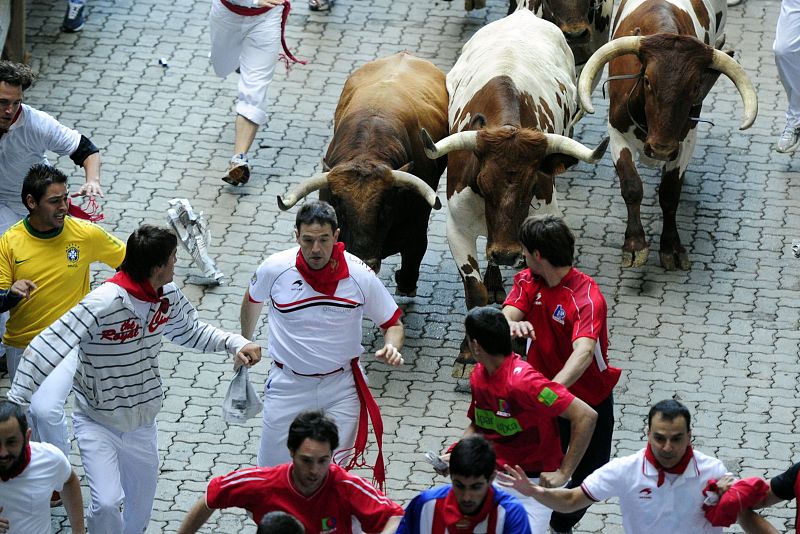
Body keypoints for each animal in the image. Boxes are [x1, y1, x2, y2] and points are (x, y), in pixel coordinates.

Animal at [278, 51, 446, 298]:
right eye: (341, 208)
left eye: (385, 208)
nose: (365, 260)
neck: (367, 152)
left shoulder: (417, 222)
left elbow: (415, 249)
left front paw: (405, 283)